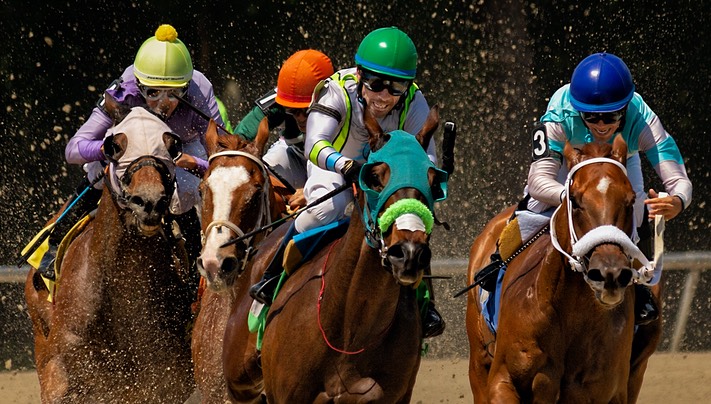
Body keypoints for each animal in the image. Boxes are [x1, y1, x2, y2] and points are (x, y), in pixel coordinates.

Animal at [468, 137, 660, 402]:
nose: (609, 274)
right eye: (575, 201)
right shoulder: (502, 379)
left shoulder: (606, 390)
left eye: (631, 201)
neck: (569, 312)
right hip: (479, 361)